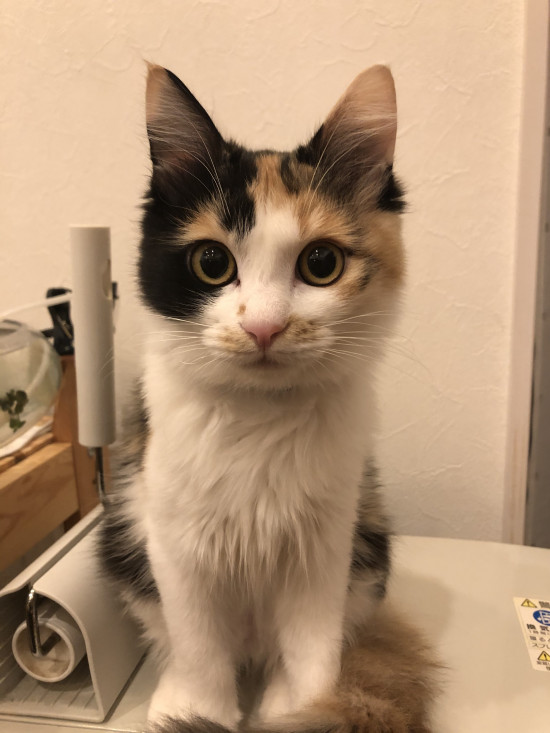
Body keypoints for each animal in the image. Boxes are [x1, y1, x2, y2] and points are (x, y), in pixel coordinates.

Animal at [99, 63, 439, 733]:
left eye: (321, 263)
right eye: (211, 261)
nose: (263, 327)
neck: (258, 416)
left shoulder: (326, 543)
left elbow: (312, 650)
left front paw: (312, 708)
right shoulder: (173, 539)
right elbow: (200, 646)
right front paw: (200, 712)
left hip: (369, 545)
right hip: (124, 541)